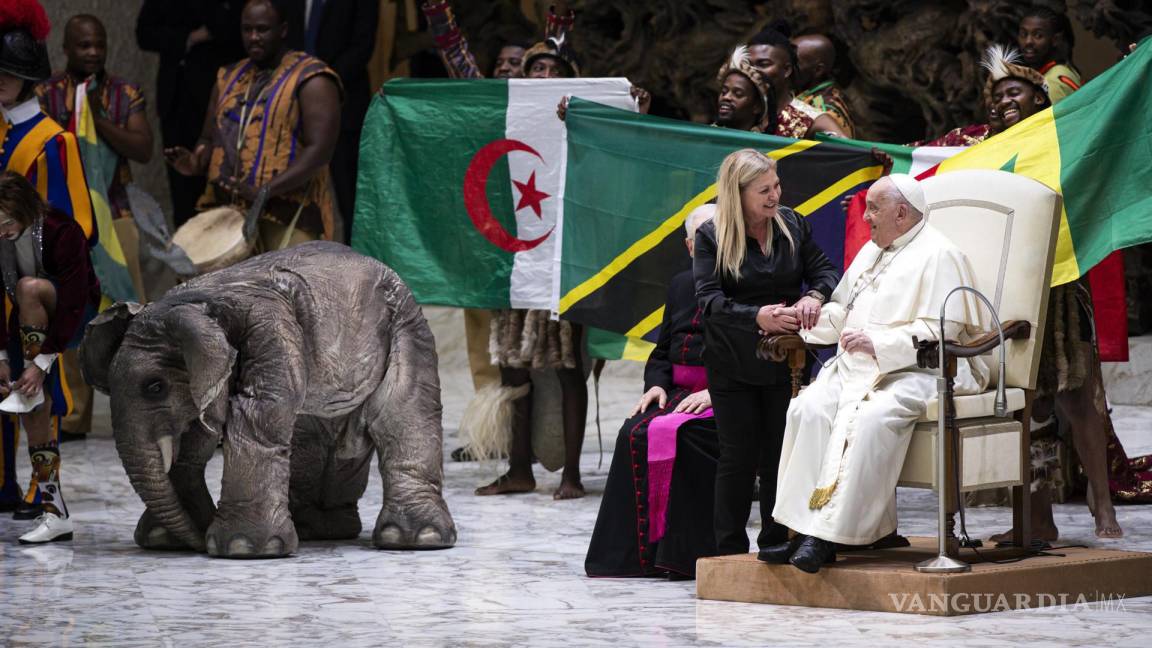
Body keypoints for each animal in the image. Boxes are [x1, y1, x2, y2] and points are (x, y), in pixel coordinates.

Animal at [81, 240, 453, 555]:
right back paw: (316, 530)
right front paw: (164, 540)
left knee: (400, 419)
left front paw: (242, 548)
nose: (197, 543)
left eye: (154, 386)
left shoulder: (270, 328)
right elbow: (195, 439)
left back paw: (416, 538)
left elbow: (254, 412)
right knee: (316, 439)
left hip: (408, 328)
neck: (193, 301)